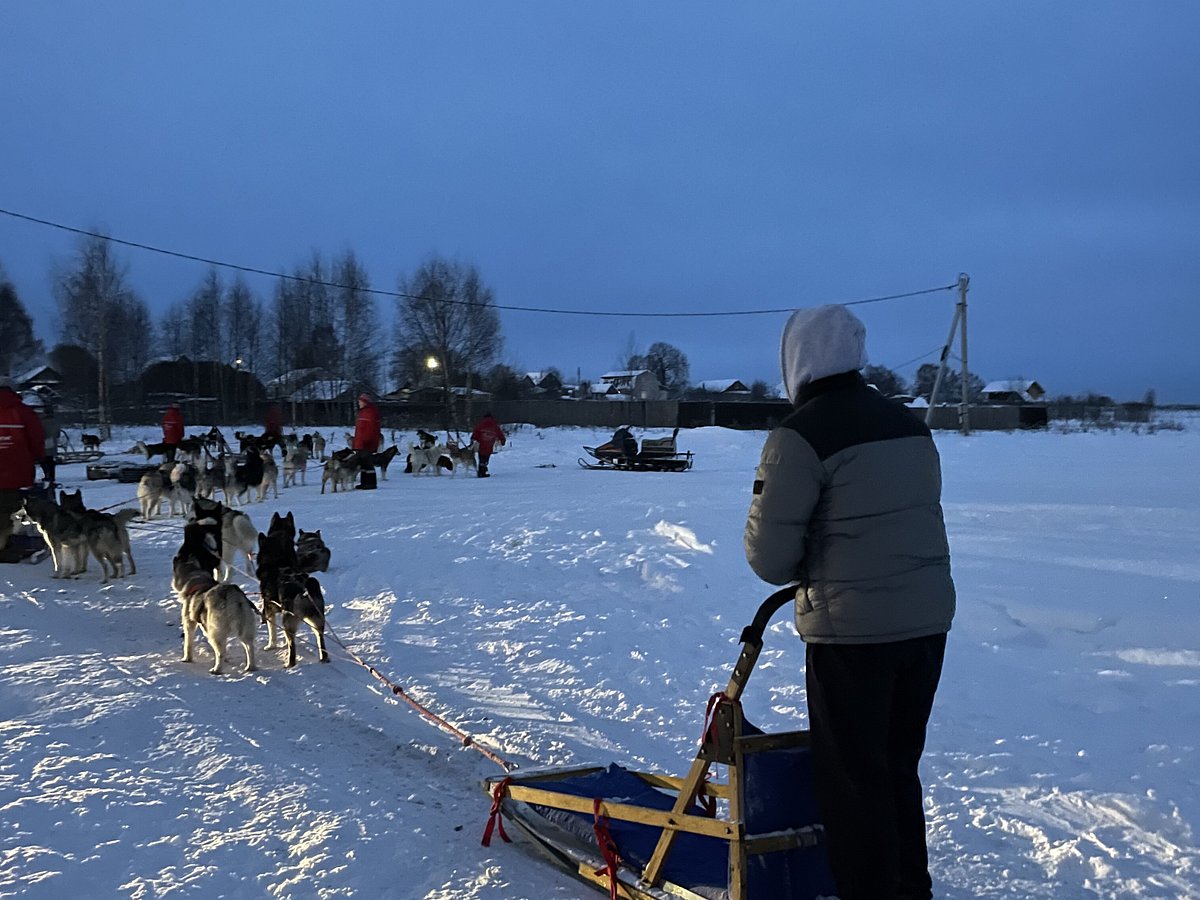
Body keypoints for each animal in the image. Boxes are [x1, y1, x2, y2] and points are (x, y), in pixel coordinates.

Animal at [171, 520, 258, 676]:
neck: (195, 577)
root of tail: (233, 596)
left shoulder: (189, 623)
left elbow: (188, 643)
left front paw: (187, 658)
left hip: (215, 632)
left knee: (220, 652)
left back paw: (217, 669)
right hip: (244, 630)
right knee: (249, 647)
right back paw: (250, 667)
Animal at [254, 513, 326, 672]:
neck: (277, 560)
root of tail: (303, 590)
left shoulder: (269, 608)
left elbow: (272, 632)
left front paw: (271, 646)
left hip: (289, 622)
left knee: (292, 646)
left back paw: (289, 664)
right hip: (317, 621)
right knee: (321, 641)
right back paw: (324, 658)